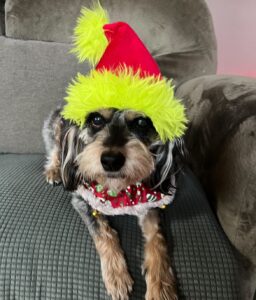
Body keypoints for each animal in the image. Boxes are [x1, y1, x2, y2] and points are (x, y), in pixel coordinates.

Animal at [43, 106, 185, 298]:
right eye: (96, 120)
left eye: (141, 122)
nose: (111, 161)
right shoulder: (83, 199)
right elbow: (104, 233)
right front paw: (117, 276)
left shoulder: (150, 203)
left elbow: (158, 238)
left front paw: (162, 286)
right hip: (56, 127)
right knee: (55, 149)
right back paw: (54, 170)